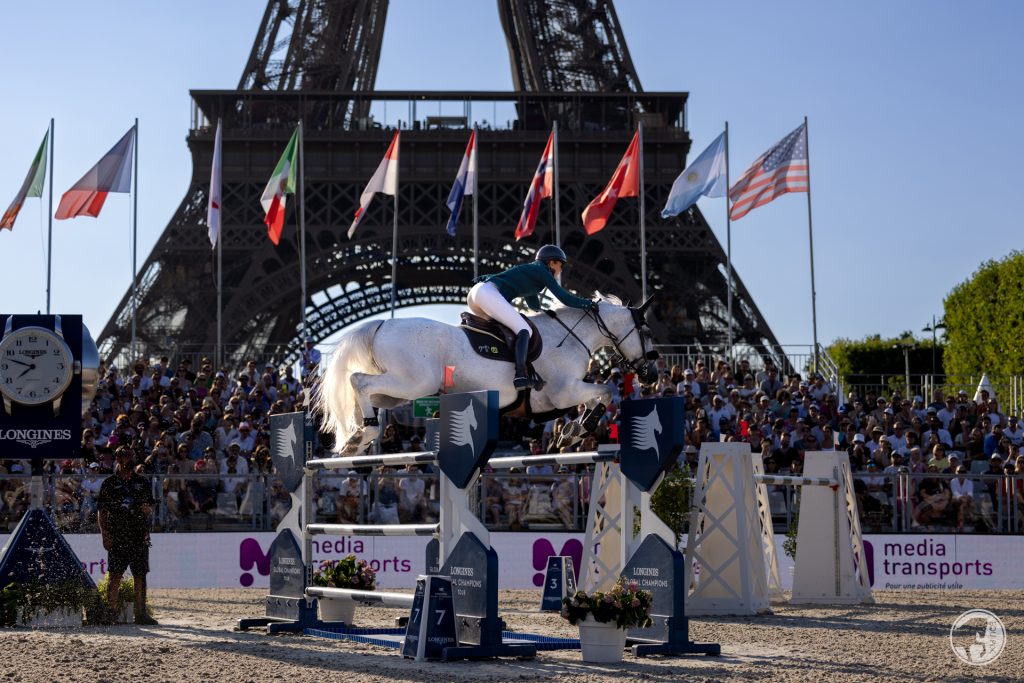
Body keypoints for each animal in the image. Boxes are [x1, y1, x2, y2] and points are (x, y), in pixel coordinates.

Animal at [315, 294, 659, 454]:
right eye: (646, 331)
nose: (652, 374)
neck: (571, 335)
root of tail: (382, 324)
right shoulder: (564, 392)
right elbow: (606, 392)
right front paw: (577, 430)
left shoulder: (566, 395)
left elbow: (596, 398)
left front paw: (571, 432)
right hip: (412, 383)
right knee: (358, 381)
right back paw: (365, 432)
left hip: (399, 391)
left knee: (363, 393)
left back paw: (358, 435)